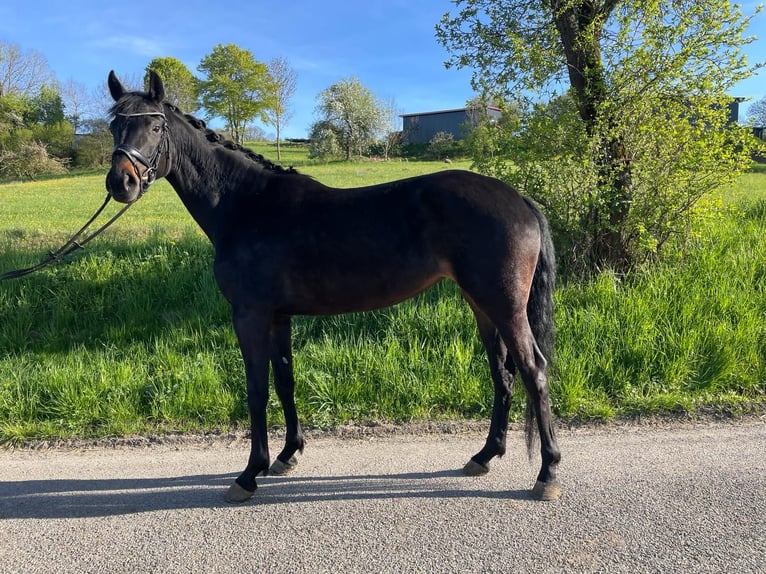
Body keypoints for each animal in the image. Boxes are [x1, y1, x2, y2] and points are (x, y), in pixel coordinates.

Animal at [105, 70, 562, 503]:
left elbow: (256, 390)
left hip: (503, 306)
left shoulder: (250, 316)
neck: (245, 204)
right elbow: (284, 381)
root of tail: (518, 199)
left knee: (533, 370)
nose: (120, 183)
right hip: (482, 305)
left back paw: (548, 474)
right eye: (114, 126)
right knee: (502, 374)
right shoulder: (278, 317)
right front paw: (288, 455)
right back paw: (484, 456)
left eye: (156, 126)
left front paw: (250, 474)